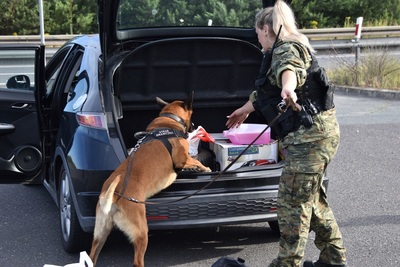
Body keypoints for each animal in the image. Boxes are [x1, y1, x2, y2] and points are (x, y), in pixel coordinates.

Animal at [89, 95, 211, 266]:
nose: (194, 127)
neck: (168, 120)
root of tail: (114, 195)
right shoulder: (182, 159)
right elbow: (196, 162)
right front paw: (205, 168)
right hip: (141, 232)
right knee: (137, 261)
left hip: (100, 234)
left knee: (92, 256)